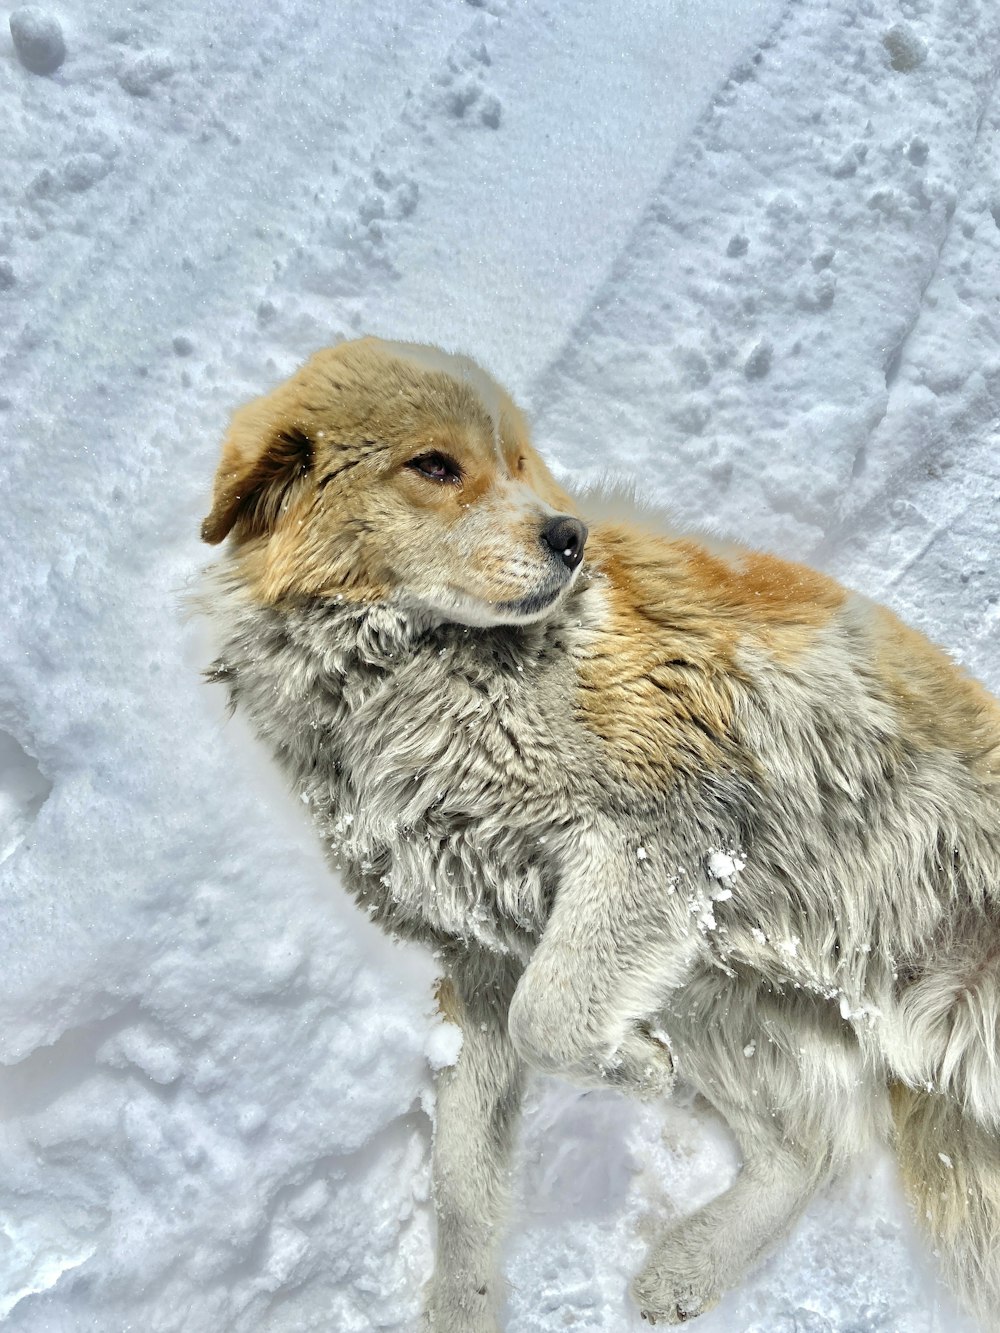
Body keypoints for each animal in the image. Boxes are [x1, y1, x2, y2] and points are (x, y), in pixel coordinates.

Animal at [200, 338, 1000, 1327]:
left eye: (517, 464)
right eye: (435, 466)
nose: (569, 537)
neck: (403, 676)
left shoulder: (662, 830)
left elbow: (549, 1022)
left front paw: (638, 1069)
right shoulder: (483, 956)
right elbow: (462, 1178)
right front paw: (461, 1304)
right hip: (716, 989)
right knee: (805, 1150)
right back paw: (688, 1267)